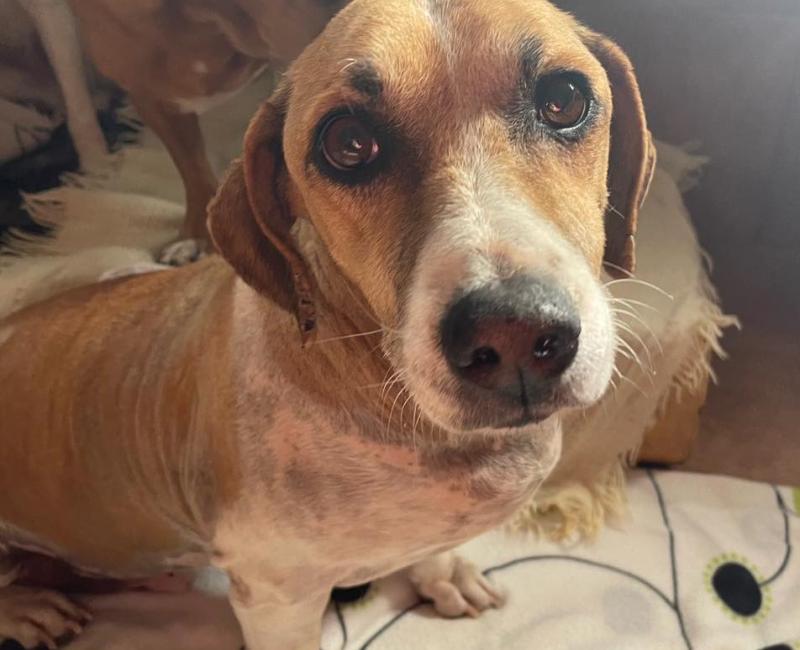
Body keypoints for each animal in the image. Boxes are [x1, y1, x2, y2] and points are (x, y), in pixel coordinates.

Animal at [0, 0, 655, 647]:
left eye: (564, 99)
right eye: (347, 142)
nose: (513, 332)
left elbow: (433, 549)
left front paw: (442, 574)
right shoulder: (276, 600)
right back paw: (28, 609)